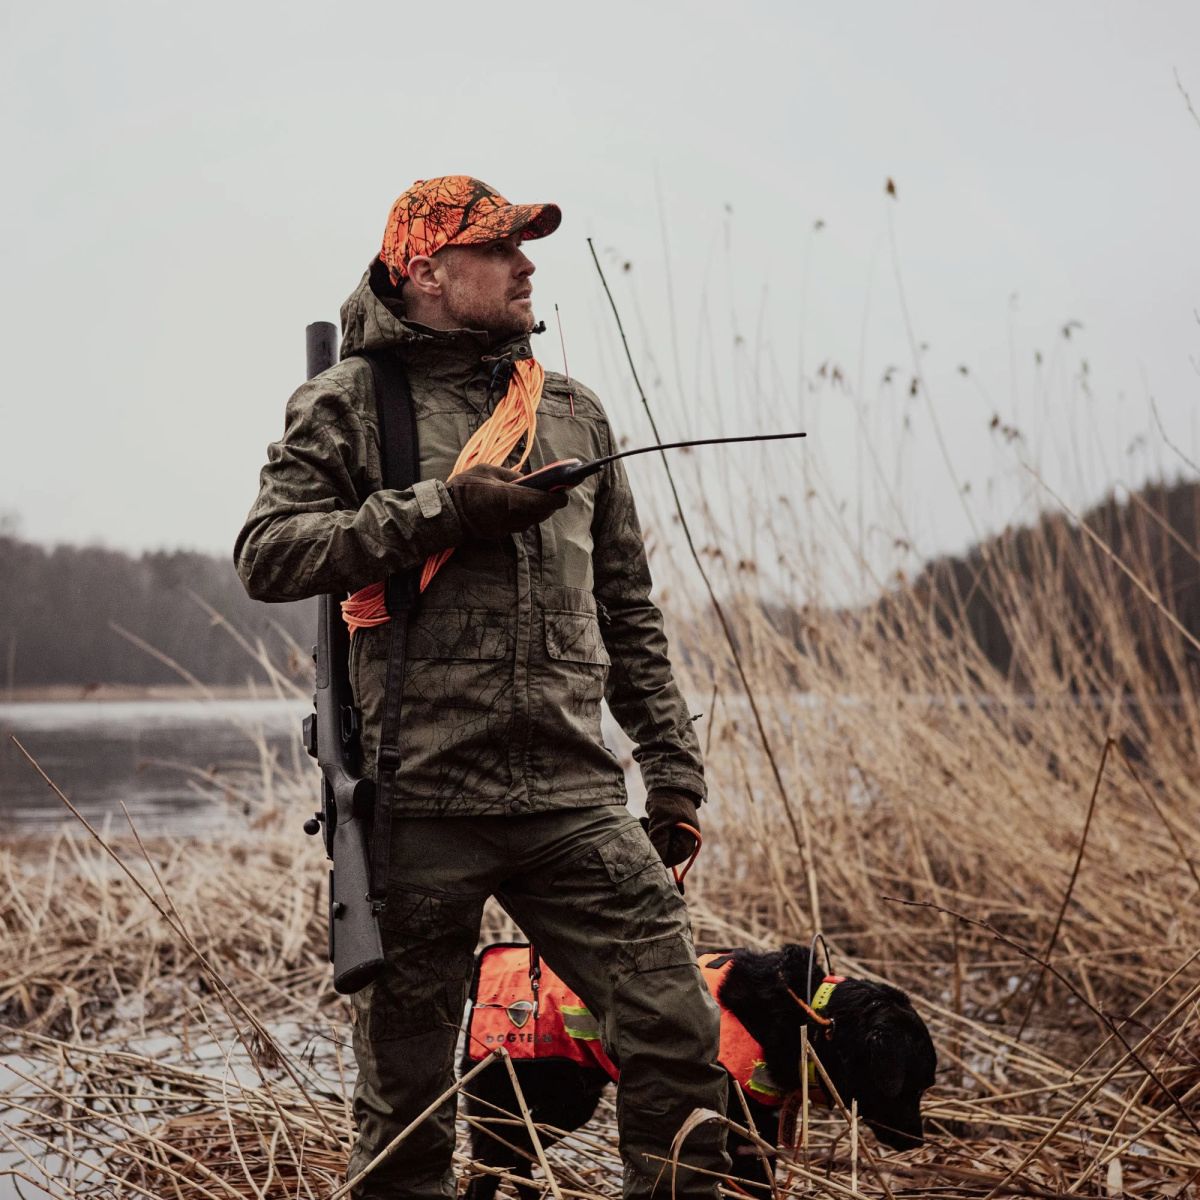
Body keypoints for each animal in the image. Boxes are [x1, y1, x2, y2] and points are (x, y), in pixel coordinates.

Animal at [458, 945, 936, 1190]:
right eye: (912, 1086)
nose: (917, 1141)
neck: (805, 1012)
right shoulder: (740, 1131)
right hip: (525, 1097)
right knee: (494, 1159)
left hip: (560, 1105)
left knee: (514, 1157)